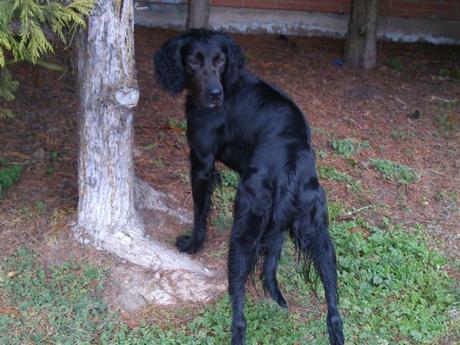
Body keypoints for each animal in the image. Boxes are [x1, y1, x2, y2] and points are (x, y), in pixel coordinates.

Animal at [154, 29, 342, 344]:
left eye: (219, 60)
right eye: (193, 61)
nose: (215, 94)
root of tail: (291, 156)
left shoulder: (201, 163)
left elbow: (199, 212)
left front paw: (193, 245)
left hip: (244, 227)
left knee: (240, 309)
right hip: (315, 230)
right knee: (329, 305)